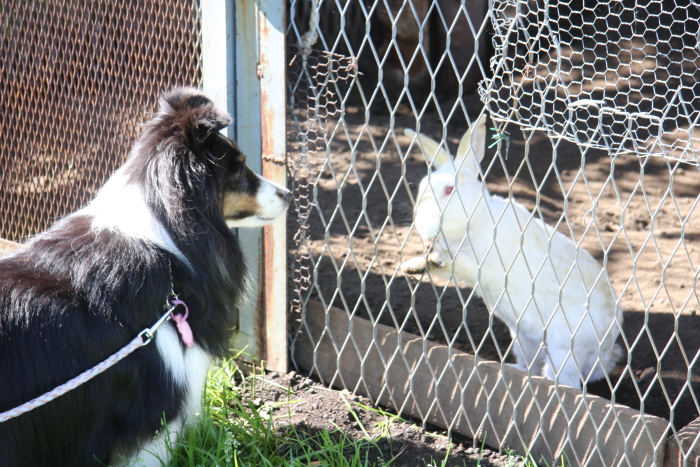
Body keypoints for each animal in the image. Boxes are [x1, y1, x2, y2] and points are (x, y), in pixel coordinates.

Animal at [400, 115, 624, 390]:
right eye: (421, 188)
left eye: (449, 190)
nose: (421, 227)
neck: (476, 221)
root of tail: (605, 352)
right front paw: (413, 265)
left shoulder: (480, 265)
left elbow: (458, 263)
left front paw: (429, 259)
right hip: (523, 340)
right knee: (530, 366)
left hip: (563, 349)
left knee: (566, 381)